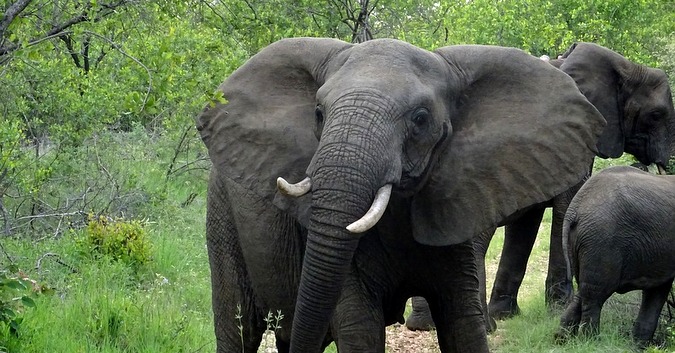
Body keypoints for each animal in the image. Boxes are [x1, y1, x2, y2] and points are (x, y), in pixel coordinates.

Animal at [197, 36, 608, 352]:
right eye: (318, 112)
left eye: (421, 119)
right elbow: (358, 326)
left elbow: (463, 322)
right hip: (222, 214)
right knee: (238, 328)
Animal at [556, 165, 675, 344]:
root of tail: (575, 208)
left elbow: (656, 290)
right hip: (601, 241)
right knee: (595, 295)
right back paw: (591, 341)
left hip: (582, 242)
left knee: (582, 293)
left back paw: (561, 340)